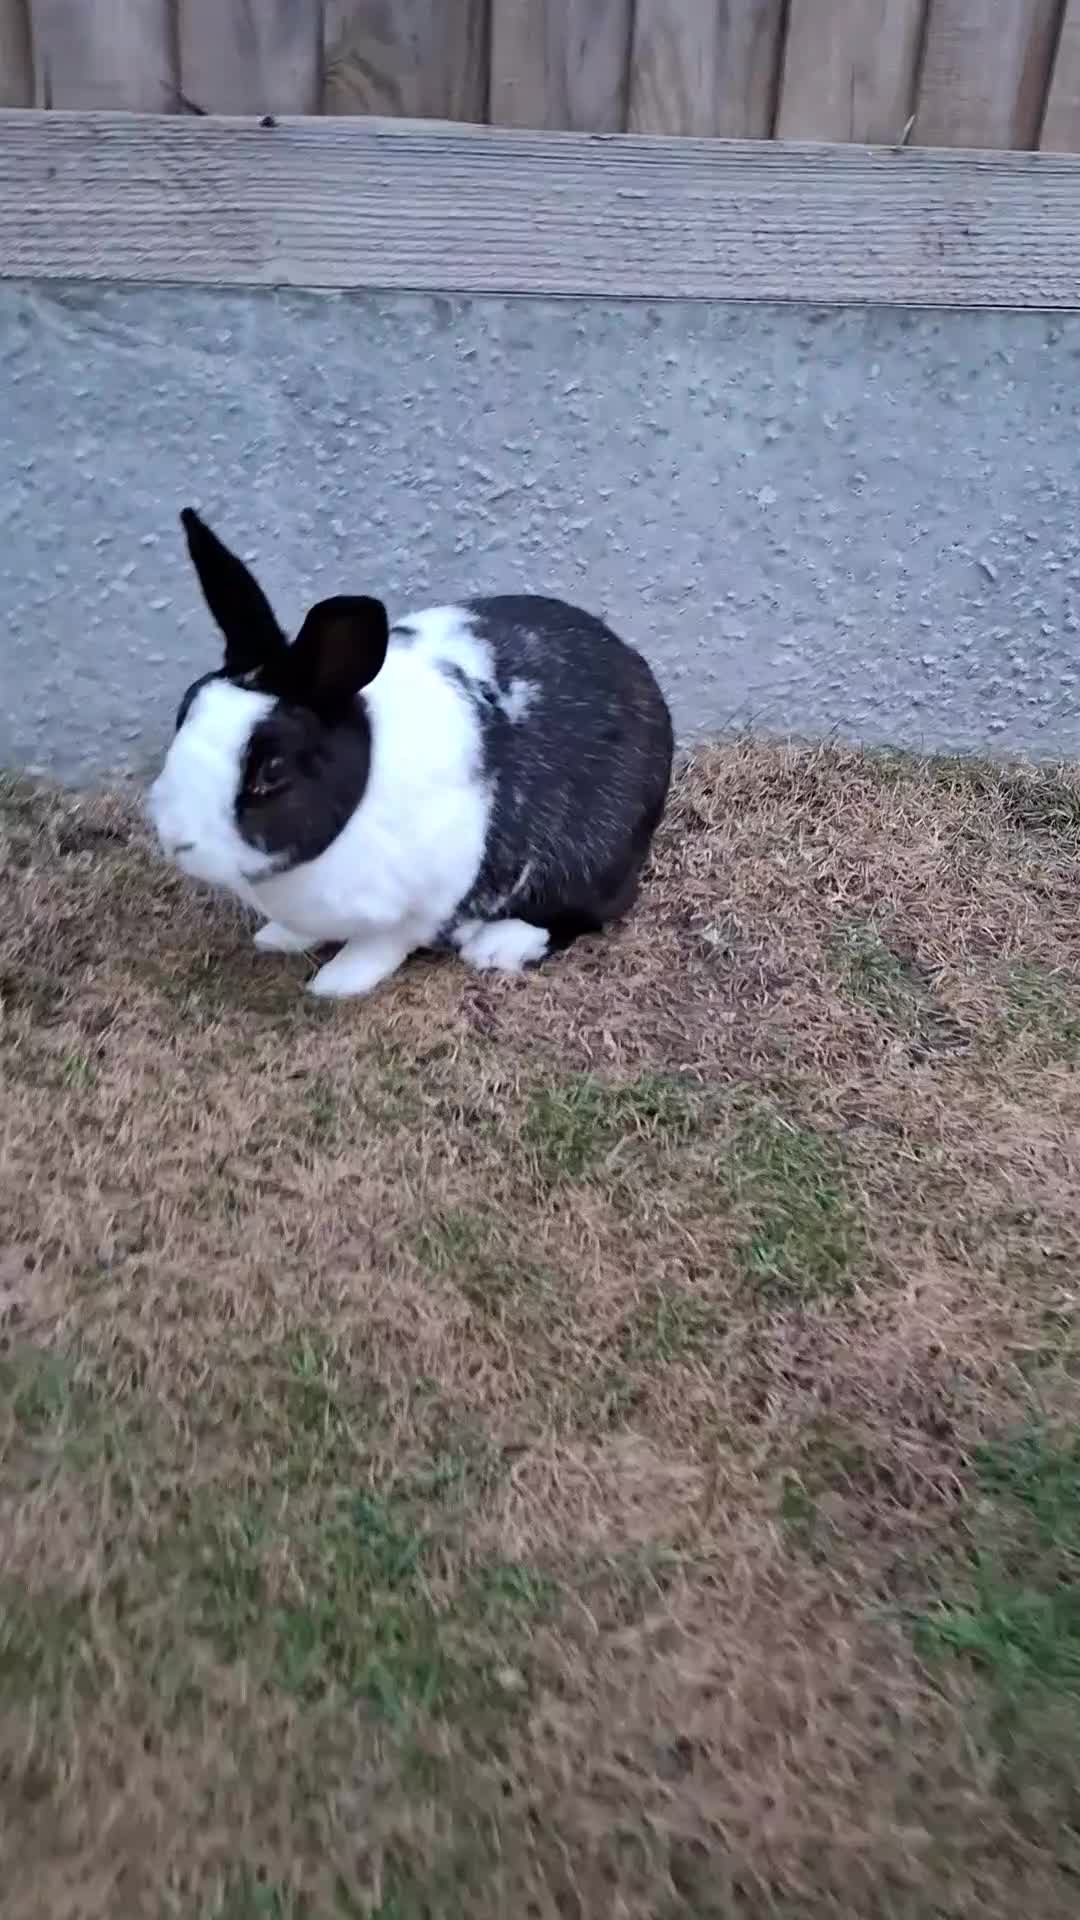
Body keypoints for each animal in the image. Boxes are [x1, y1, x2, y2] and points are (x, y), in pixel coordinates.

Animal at [147, 509, 674, 999]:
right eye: (186, 709)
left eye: (273, 770)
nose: (176, 840)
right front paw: (278, 938)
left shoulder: (429, 902)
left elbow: (381, 945)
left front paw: (337, 982)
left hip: (594, 859)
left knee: (591, 912)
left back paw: (497, 945)